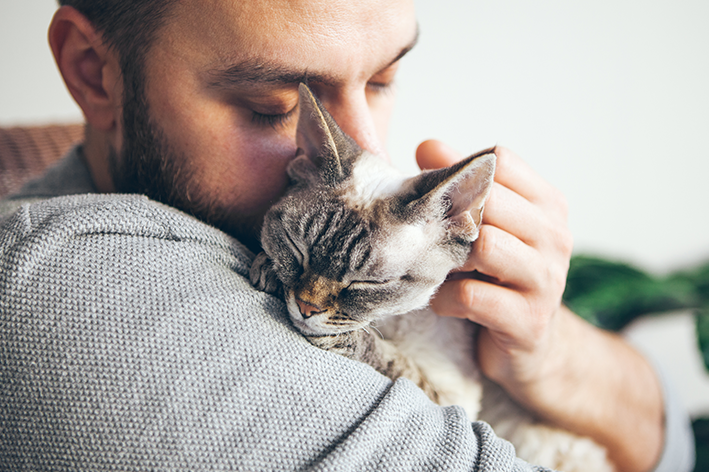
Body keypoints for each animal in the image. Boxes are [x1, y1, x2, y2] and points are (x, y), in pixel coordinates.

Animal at [250, 84, 612, 472]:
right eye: (296, 248)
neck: (391, 320)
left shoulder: (454, 398)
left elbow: (394, 361)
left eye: (368, 283)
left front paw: (347, 338)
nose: (305, 308)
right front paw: (268, 268)